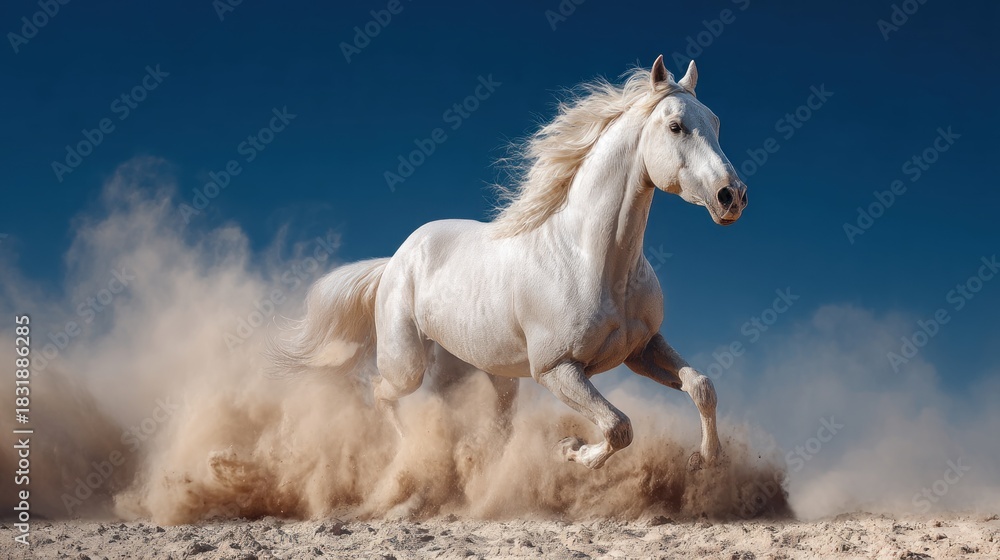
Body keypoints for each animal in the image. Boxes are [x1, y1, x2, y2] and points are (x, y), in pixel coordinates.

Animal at [270, 55, 748, 470]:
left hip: (488, 373)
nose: (732, 196)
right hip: (407, 364)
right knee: (382, 392)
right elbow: (618, 427)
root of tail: (394, 262)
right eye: (676, 126)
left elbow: (701, 387)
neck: (593, 259)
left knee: (490, 426)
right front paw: (571, 451)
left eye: (716, 123)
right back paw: (409, 450)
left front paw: (705, 461)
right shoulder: (555, 369)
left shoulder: (642, 348)